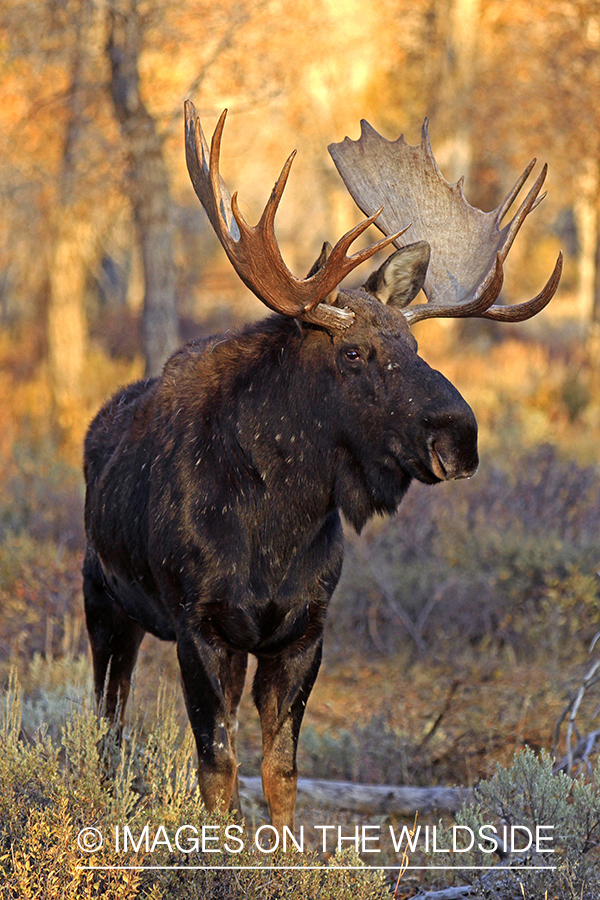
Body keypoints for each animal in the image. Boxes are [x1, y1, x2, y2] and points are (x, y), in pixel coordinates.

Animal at [84, 103, 564, 828]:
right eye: (355, 353)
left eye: (415, 345)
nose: (461, 438)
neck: (277, 526)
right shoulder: (202, 626)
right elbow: (217, 769)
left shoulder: (304, 631)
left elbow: (281, 773)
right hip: (103, 600)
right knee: (107, 721)